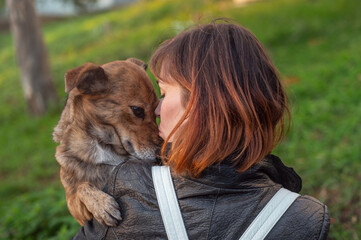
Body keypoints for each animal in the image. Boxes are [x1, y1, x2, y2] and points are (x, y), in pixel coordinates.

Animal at [51, 58, 160, 227]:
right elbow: (82, 186)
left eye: (156, 111)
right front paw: (101, 205)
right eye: (137, 110)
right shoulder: (75, 208)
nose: (161, 151)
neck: (105, 146)